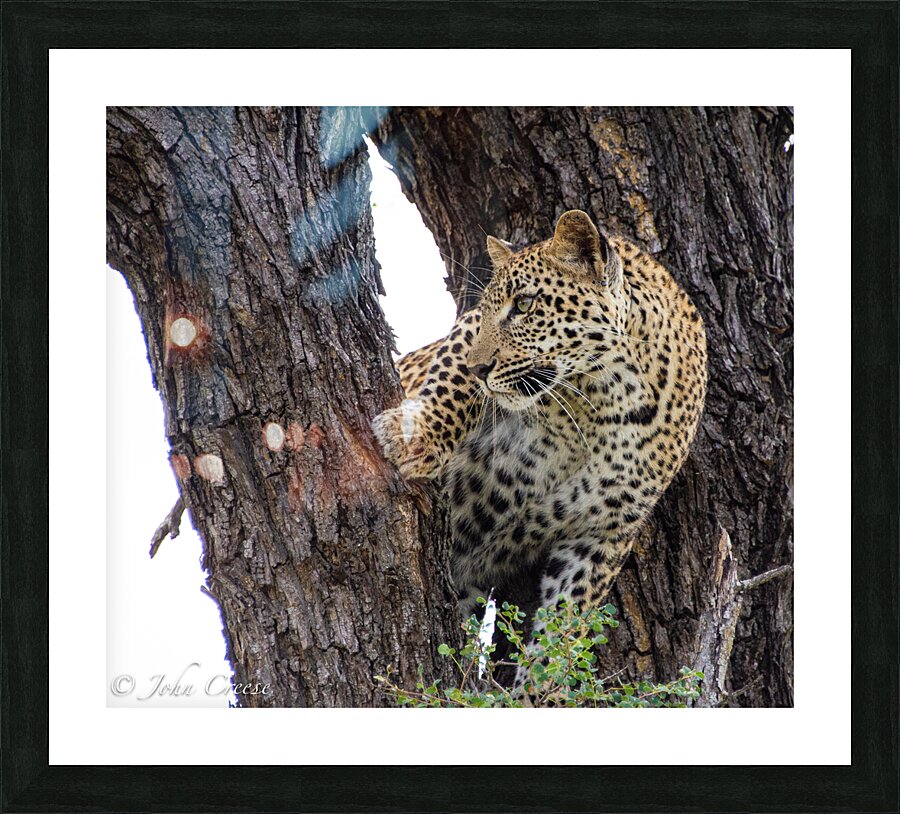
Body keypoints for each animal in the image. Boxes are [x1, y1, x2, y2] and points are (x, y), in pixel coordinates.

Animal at [373, 210, 707, 674]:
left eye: (525, 304)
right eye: (488, 310)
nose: (480, 368)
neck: (600, 401)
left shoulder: (600, 537)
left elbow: (562, 634)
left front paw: (535, 687)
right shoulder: (466, 331)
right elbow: (450, 382)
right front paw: (416, 437)